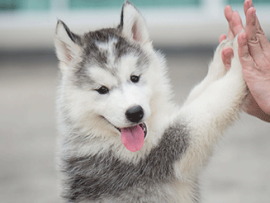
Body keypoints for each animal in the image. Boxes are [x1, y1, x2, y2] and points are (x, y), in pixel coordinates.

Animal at [54, 0, 247, 202]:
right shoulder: (164, 152)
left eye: (134, 78)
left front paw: (224, 57)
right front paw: (241, 60)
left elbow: (202, 92)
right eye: (102, 90)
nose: (135, 113)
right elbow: (210, 103)